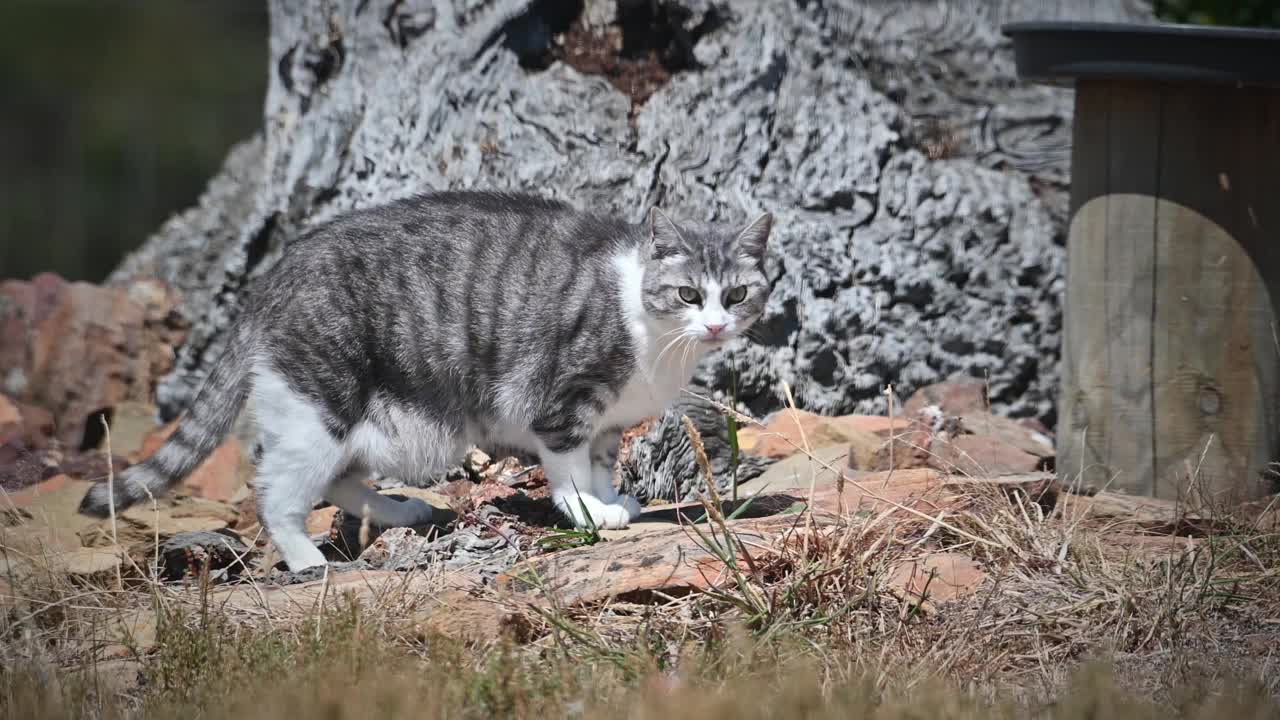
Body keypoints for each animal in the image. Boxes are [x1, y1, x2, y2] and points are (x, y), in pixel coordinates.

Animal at [85, 192, 773, 571]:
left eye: (737, 295)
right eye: (688, 295)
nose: (715, 324)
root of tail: (275, 274)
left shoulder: (606, 422)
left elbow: (601, 464)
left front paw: (612, 501)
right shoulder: (562, 404)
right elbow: (569, 471)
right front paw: (589, 512)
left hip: (363, 422)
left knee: (336, 477)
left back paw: (400, 509)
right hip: (321, 405)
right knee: (276, 490)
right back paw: (307, 560)